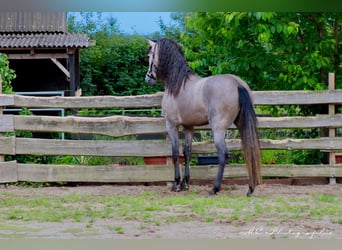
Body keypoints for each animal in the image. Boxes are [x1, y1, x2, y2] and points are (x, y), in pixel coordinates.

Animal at [145, 37, 262, 197]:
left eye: (150, 56)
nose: (148, 78)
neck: (178, 84)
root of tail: (237, 84)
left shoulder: (171, 125)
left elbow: (175, 153)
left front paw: (176, 184)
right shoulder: (189, 127)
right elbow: (187, 152)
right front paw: (185, 184)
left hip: (218, 128)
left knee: (222, 154)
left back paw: (214, 188)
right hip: (242, 124)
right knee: (249, 149)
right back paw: (250, 188)